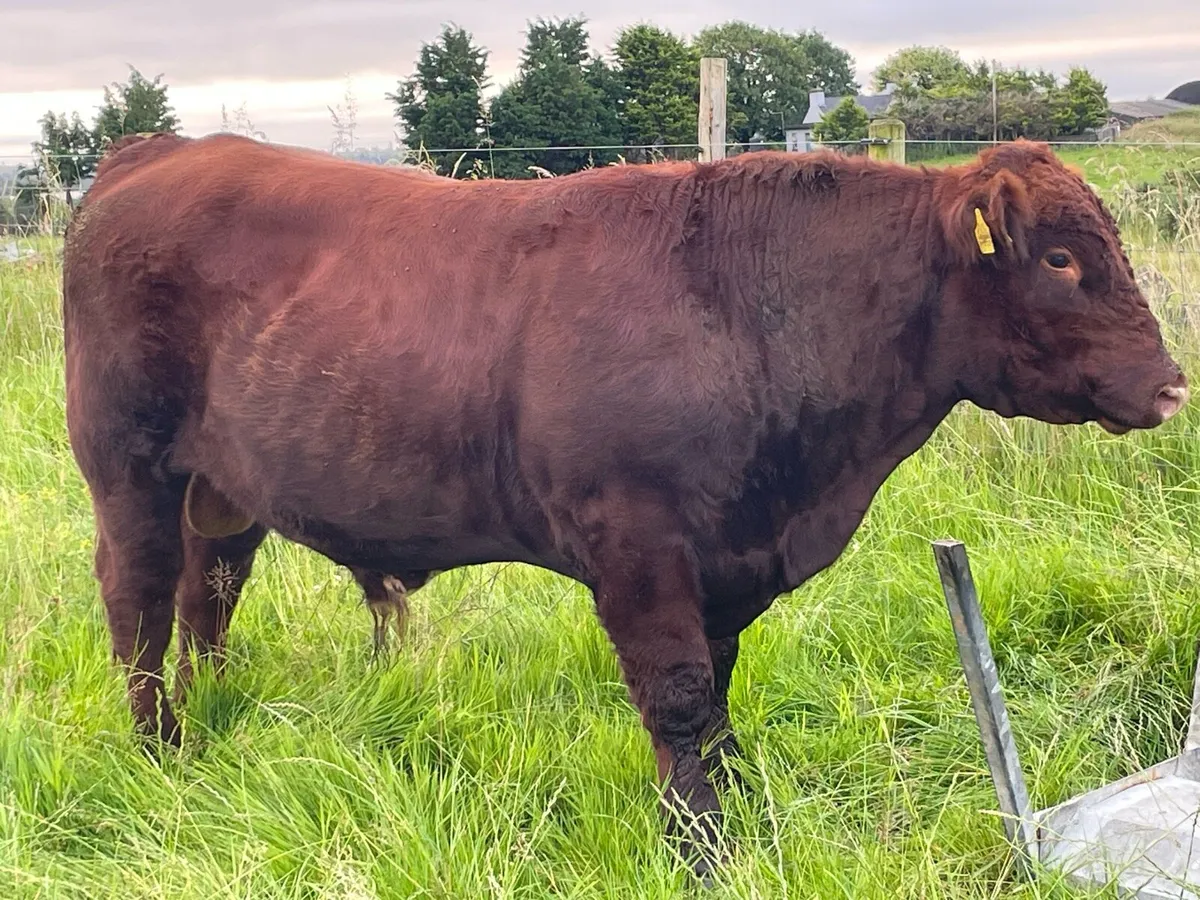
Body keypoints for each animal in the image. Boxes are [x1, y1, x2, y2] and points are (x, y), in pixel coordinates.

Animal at [62, 132, 1187, 876]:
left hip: (224, 485)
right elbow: (681, 702)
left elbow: (717, 704)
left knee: (210, 589)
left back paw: (213, 712)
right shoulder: (639, 549)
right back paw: (160, 747)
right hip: (126, 465)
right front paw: (700, 853)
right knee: (139, 598)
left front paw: (737, 823)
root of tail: (163, 150)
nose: (1173, 384)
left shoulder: (724, 562)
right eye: (1059, 258)